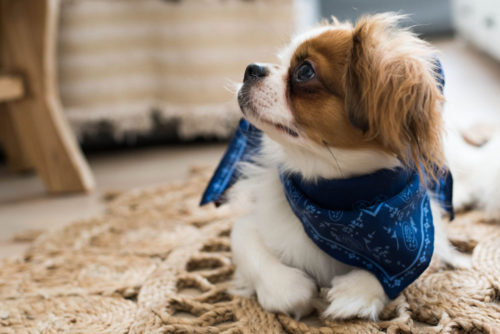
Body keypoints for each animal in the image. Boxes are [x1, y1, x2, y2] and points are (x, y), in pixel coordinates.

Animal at [200, 13, 500, 320]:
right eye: (279, 60)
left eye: (304, 71)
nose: (251, 68)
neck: (344, 198)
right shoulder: (254, 222)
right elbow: (243, 239)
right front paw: (291, 289)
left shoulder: (424, 236)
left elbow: (410, 266)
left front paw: (356, 292)